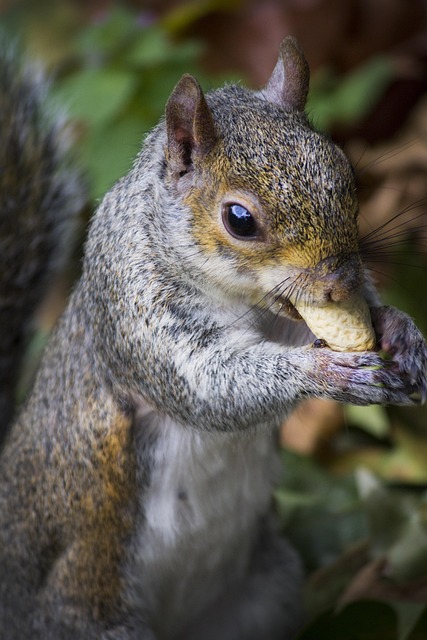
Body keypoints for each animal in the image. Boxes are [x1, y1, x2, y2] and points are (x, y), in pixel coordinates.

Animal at [0, 35, 426, 640]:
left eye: (346, 174)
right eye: (240, 219)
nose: (341, 282)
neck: (240, 299)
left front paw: (399, 329)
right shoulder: (137, 313)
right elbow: (208, 385)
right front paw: (324, 372)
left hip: (266, 591)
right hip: (87, 610)